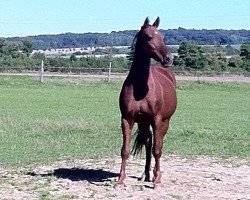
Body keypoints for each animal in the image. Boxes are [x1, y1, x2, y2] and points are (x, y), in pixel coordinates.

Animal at [116, 17, 177, 189]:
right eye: (149, 37)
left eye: (163, 37)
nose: (169, 58)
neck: (140, 88)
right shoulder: (127, 119)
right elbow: (125, 150)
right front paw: (120, 180)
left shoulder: (157, 120)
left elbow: (157, 149)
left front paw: (157, 180)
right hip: (144, 122)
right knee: (148, 143)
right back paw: (146, 174)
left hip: (164, 122)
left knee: (157, 145)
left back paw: (155, 175)